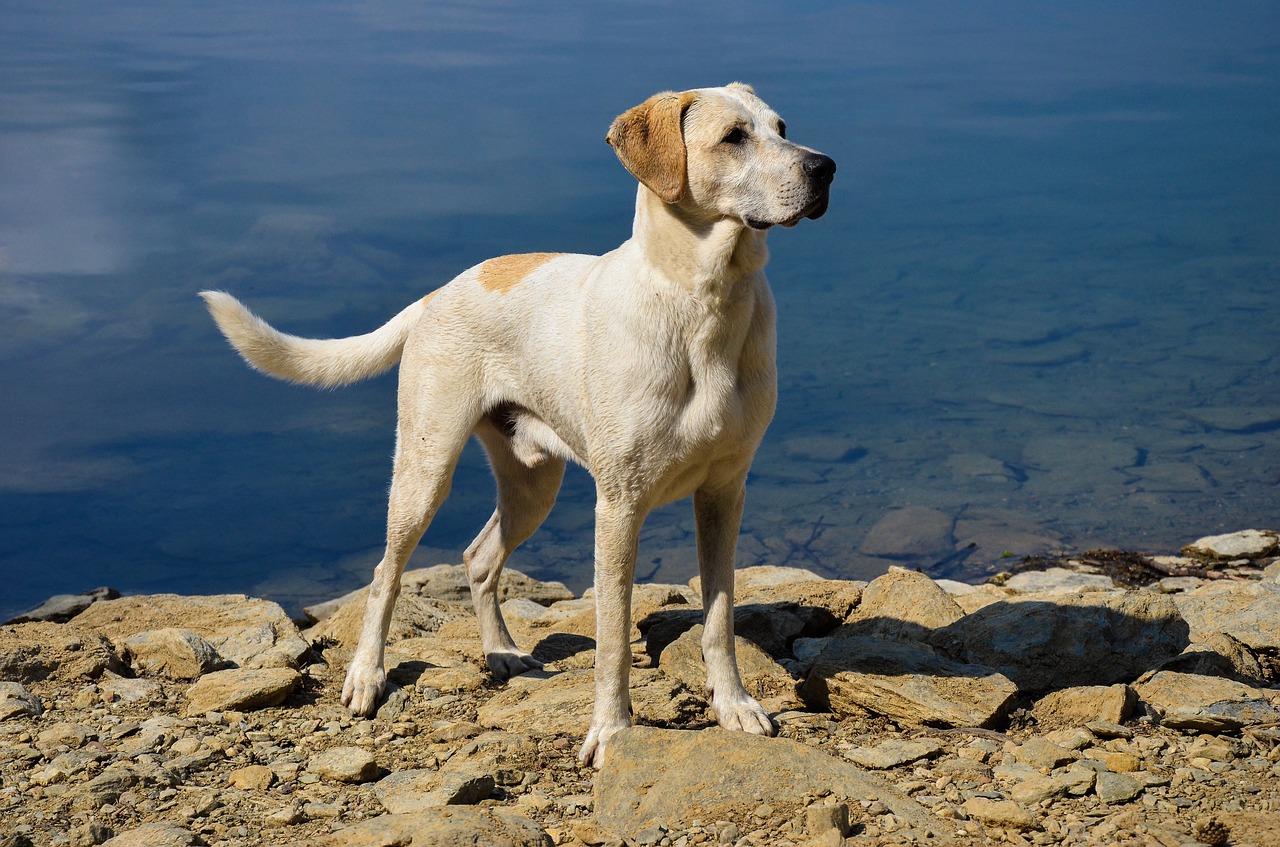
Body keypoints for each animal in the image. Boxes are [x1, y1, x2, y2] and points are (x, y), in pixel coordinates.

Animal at [199, 84, 834, 767]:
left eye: (782, 127)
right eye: (733, 138)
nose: (825, 167)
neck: (704, 299)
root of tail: (435, 295)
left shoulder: (724, 493)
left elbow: (719, 617)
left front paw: (735, 706)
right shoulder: (619, 505)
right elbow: (613, 639)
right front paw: (612, 732)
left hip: (534, 485)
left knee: (479, 560)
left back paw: (501, 653)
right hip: (425, 470)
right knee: (383, 574)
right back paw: (367, 676)